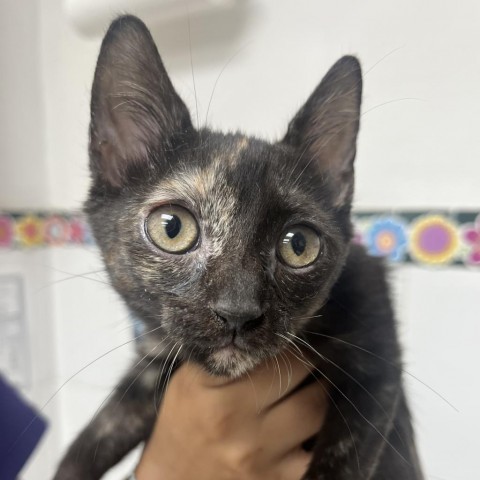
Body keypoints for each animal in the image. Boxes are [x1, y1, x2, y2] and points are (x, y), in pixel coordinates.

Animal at [53, 15, 424, 480]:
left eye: (299, 244)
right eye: (172, 228)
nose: (238, 311)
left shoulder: (375, 356)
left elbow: (342, 460)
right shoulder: (157, 359)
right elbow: (100, 430)